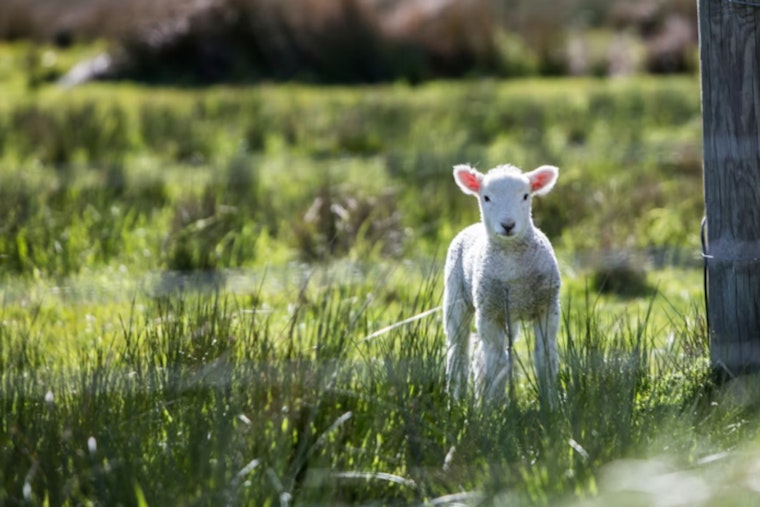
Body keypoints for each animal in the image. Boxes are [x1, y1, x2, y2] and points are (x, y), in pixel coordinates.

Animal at [443, 163, 561, 403]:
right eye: (486, 197)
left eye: (526, 196)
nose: (508, 225)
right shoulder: (489, 313)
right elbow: (496, 362)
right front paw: (492, 406)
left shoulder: (547, 307)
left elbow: (545, 358)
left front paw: (551, 403)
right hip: (456, 297)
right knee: (459, 350)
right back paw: (456, 398)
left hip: (509, 314)